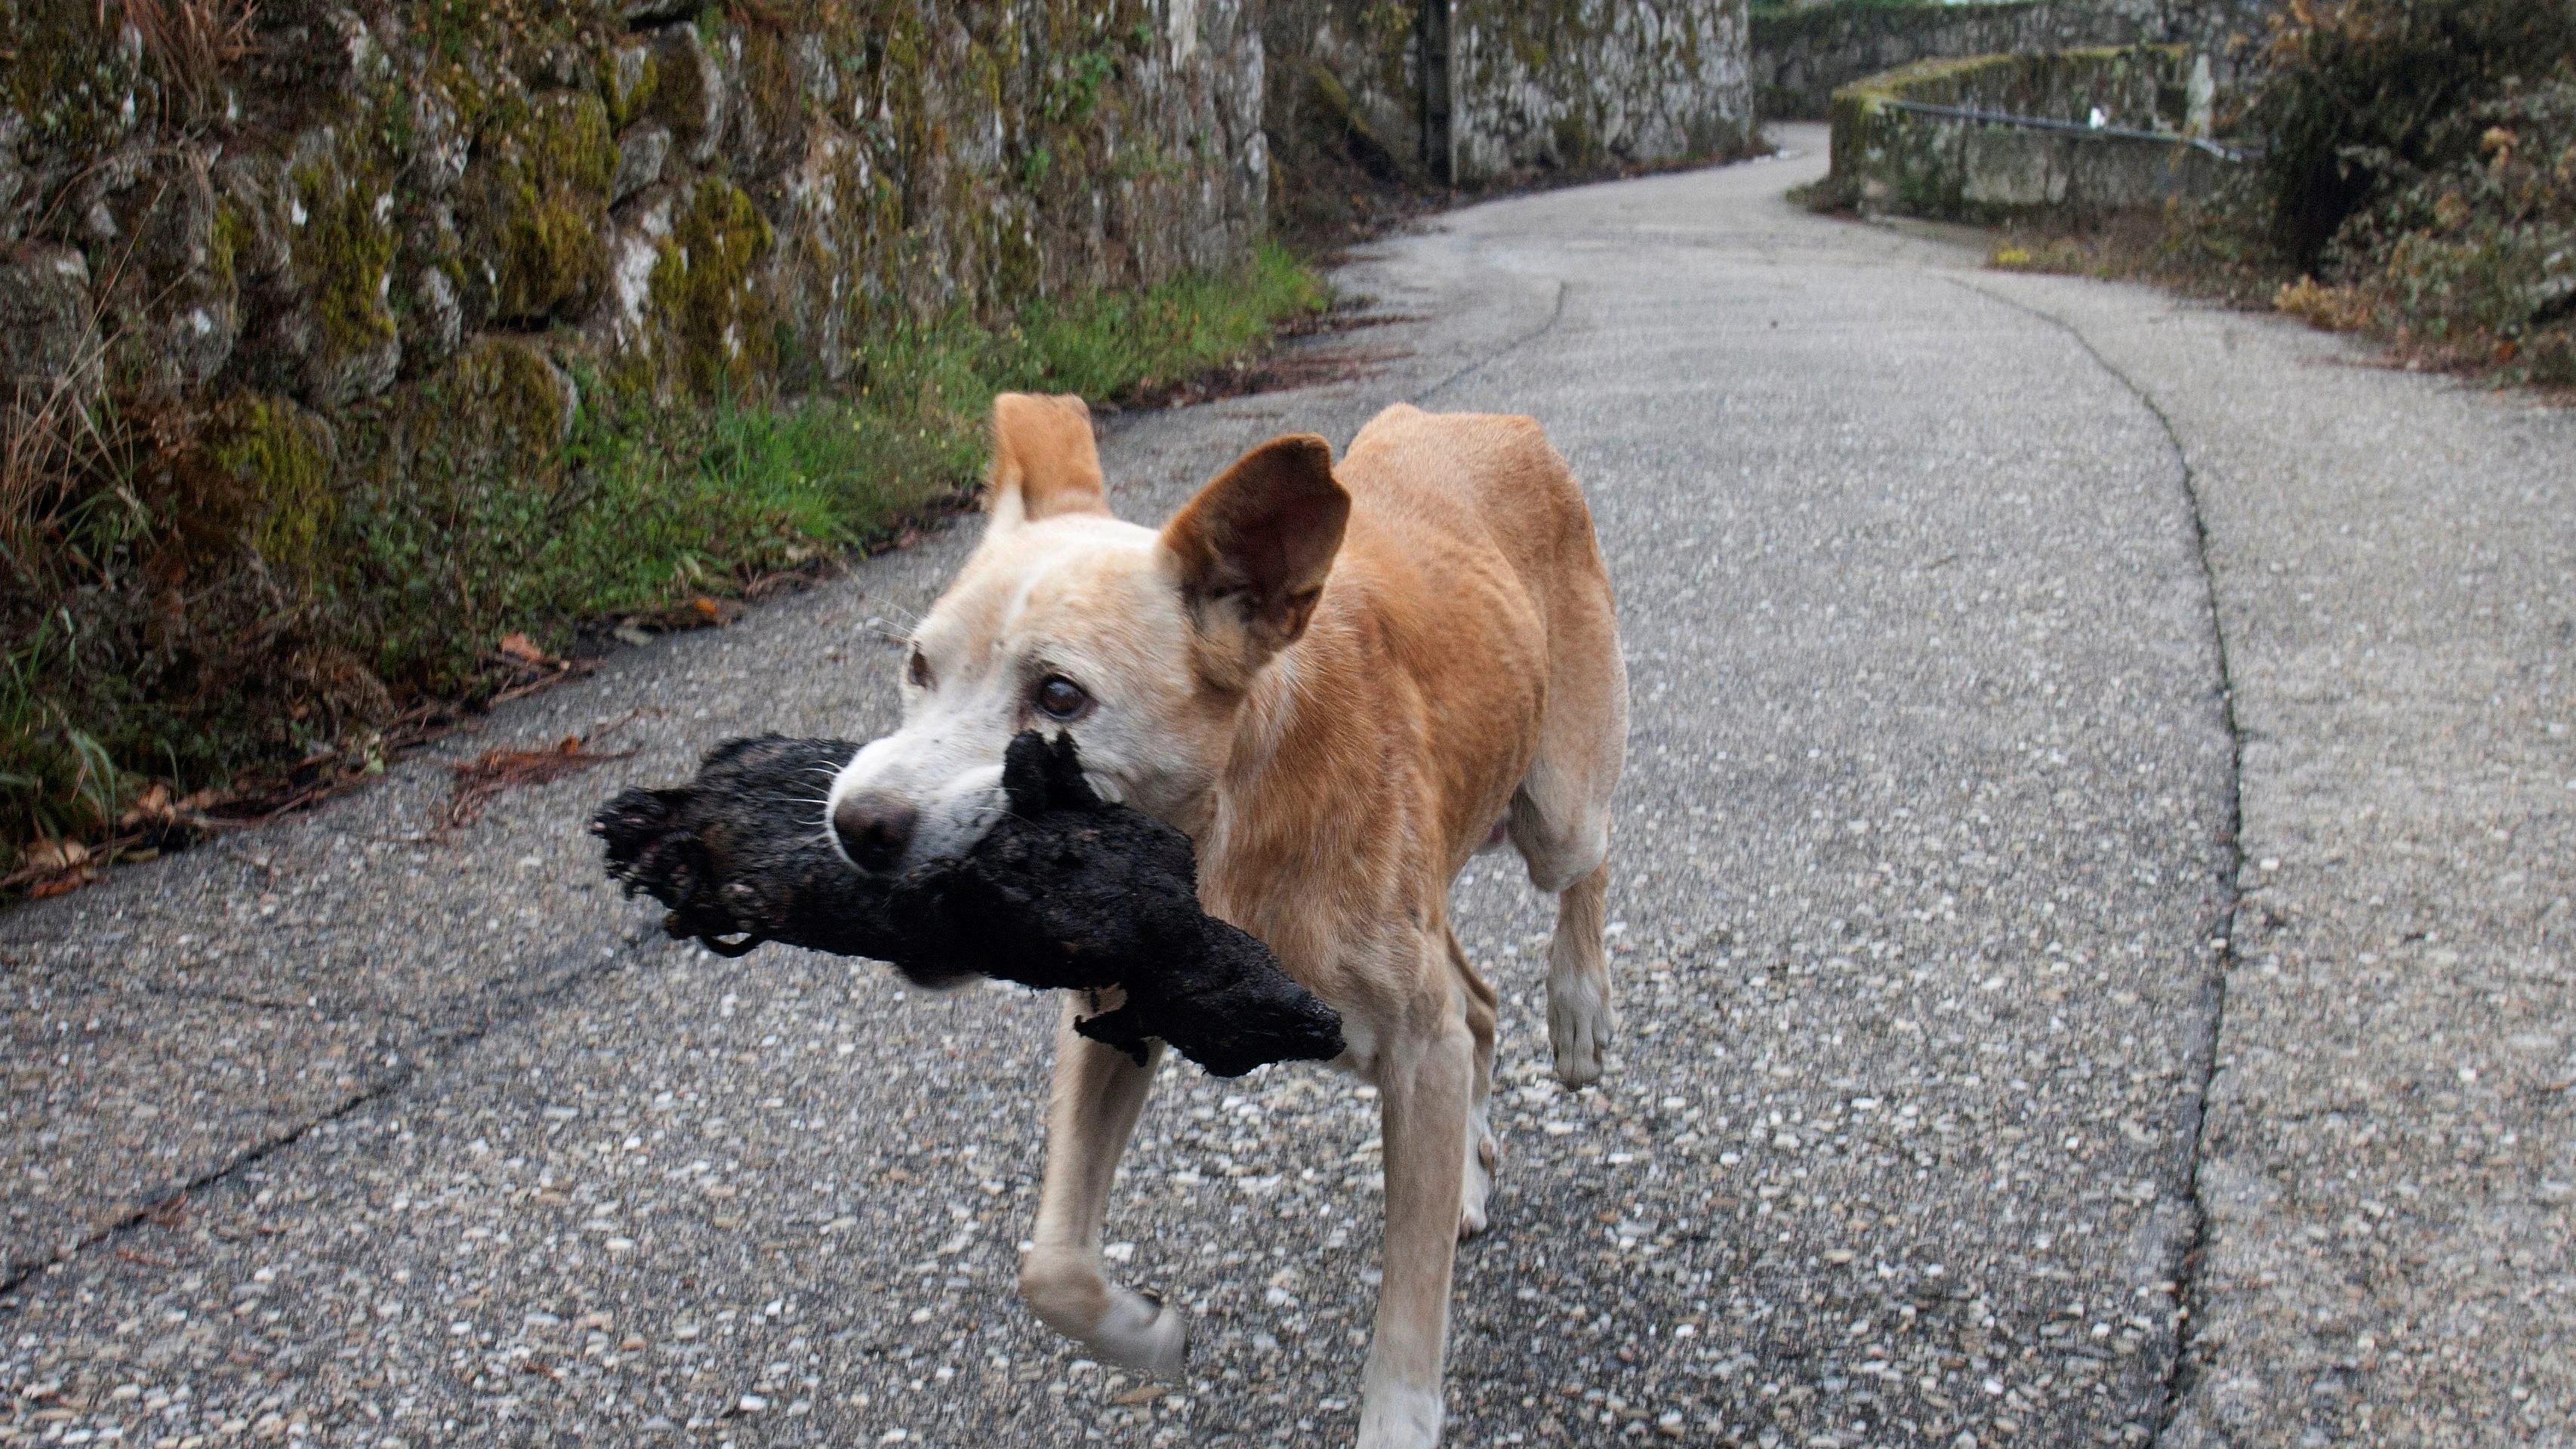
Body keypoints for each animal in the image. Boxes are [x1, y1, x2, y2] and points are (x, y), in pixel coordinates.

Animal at [824, 389, 1628, 1433]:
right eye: (919, 666)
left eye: (1059, 695)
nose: (858, 823)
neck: (1223, 836)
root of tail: (1483, 418)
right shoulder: (1111, 1016)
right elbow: (1052, 1268)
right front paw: (1144, 1334)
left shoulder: (1419, 1049)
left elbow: (1409, 1313)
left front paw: (1397, 1418)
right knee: (1479, 1005)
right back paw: (1470, 1168)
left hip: (1556, 809)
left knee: (1585, 865)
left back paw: (1578, 1009)